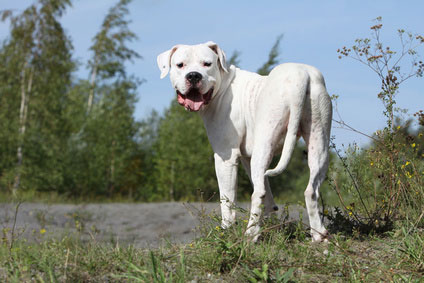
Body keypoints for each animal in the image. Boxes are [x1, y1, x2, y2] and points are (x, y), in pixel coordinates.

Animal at [157, 41, 332, 242]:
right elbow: (268, 196)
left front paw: (226, 231)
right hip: (318, 144)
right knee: (310, 190)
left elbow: (227, 200)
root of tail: (300, 75)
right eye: (180, 65)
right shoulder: (248, 159)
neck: (223, 86)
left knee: (258, 193)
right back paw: (319, 236)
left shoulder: (225, 158)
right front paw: (271, 226)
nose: (194, 75)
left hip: (264, 143)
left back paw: (250, 235)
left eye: (207, 64)